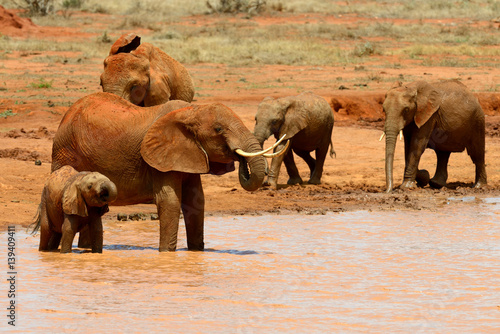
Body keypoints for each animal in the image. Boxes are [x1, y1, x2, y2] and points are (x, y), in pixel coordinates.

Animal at [53, 92, 286, 252]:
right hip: (65, 151)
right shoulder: (160, 158)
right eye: (219, 129)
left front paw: (196, 252)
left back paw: (85, 249)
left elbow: (196, 201)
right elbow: (170, 201)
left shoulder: (189, 154)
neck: (191, 111)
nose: (239, 159)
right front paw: (166, 253)